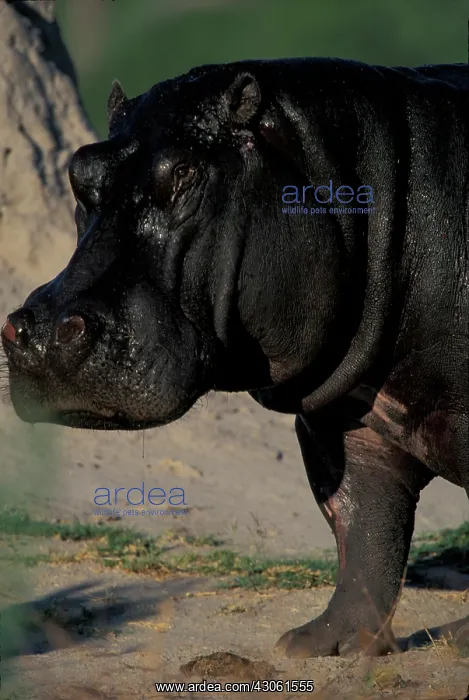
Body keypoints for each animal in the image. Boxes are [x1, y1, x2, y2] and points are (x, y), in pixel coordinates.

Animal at [2, 57, 468, 657]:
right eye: (79, 170)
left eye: (184, 173)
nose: (41, 333)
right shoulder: (341, 419)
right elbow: (363, 527)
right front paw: (317, 645)